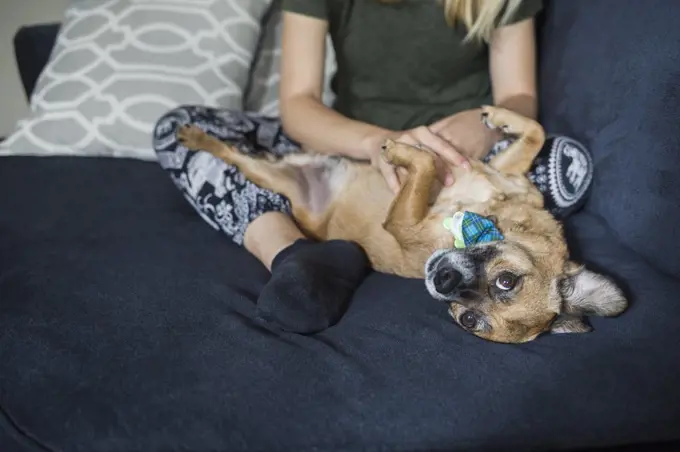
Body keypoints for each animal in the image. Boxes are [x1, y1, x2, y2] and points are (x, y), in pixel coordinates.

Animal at [177, 106, 628, 342]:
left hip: (269, 176)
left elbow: (425, 163)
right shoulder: (500, 168)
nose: (443, 280)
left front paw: (399, 150)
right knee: (235, 151)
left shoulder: (402, 222)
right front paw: (497, 117)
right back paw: (202, 136)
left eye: (467, 321)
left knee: (237, 157)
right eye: (507, 281)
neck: (490, 215)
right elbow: (533, 131)